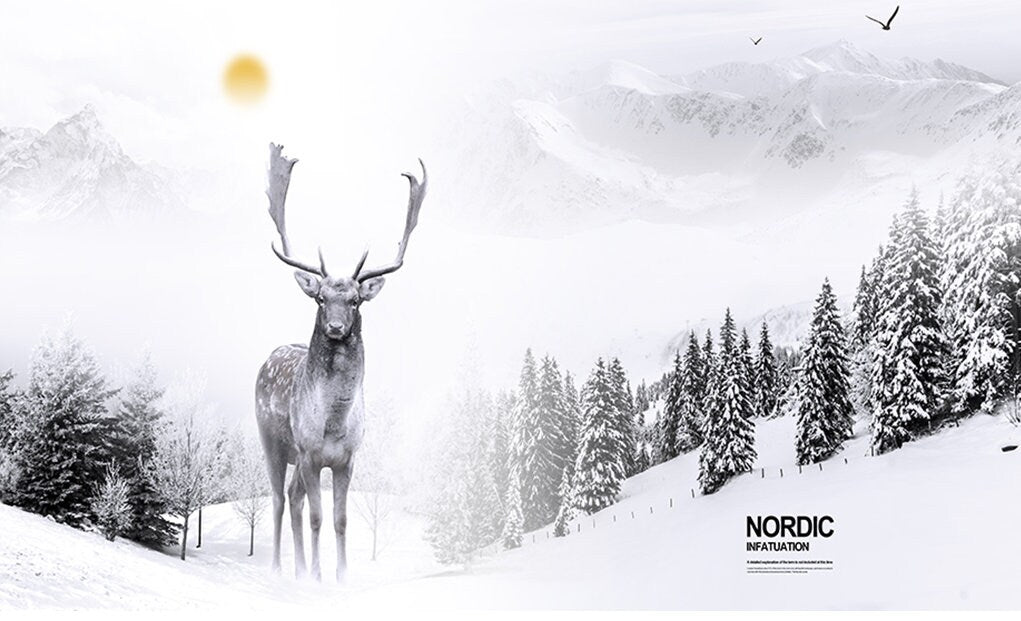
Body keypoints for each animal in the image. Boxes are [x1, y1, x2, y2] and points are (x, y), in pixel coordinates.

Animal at [255, 143, 427, 582]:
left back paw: (298, 568)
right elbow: (317, 517)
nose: (334, 327)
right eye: (320, 299)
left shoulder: (348, 458)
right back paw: (280, 568)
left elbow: (340, 520)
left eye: (354, 301)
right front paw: (318, 576)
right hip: (273, 441)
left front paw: (340, 575)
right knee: (279, 499)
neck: (333, 424)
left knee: (292, 496)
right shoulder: (311, 453)